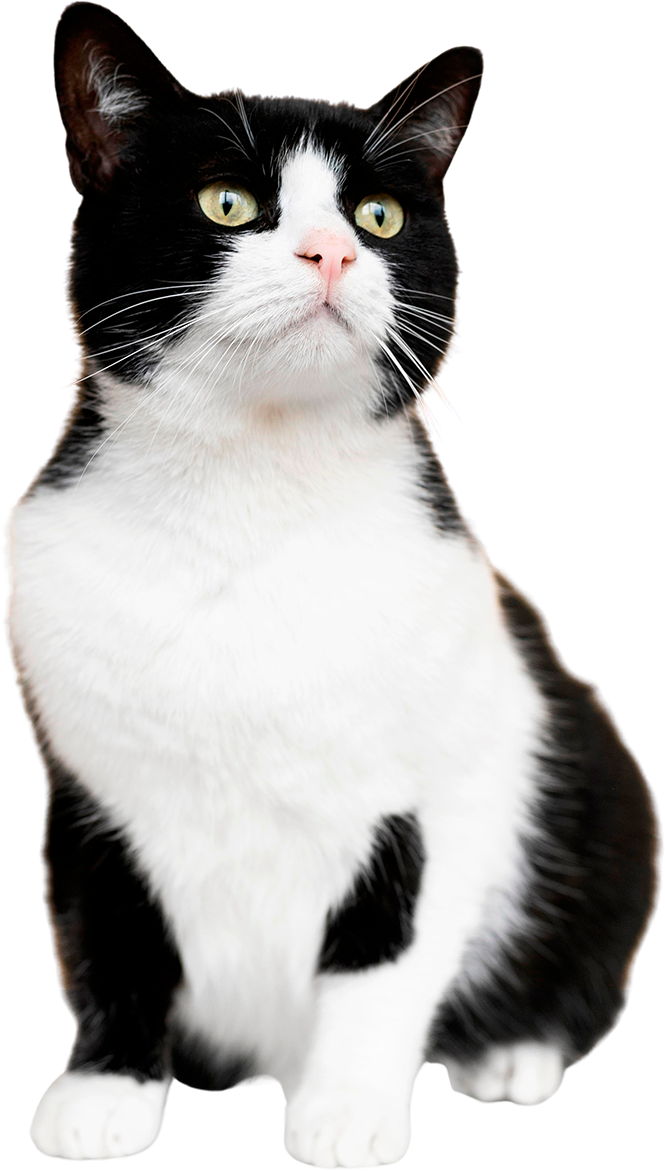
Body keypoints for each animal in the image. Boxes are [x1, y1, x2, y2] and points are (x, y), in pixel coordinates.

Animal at [6, 4, 660, 1166]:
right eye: (227, 202)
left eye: (379, 214)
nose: (332, 249)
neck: (247, 503)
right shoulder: (94, 787)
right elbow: (110, 938)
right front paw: (110, 1089)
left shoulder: (439, 789)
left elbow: (382, 960)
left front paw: (346, 1112)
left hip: (599, 786)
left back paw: (511, 1054)